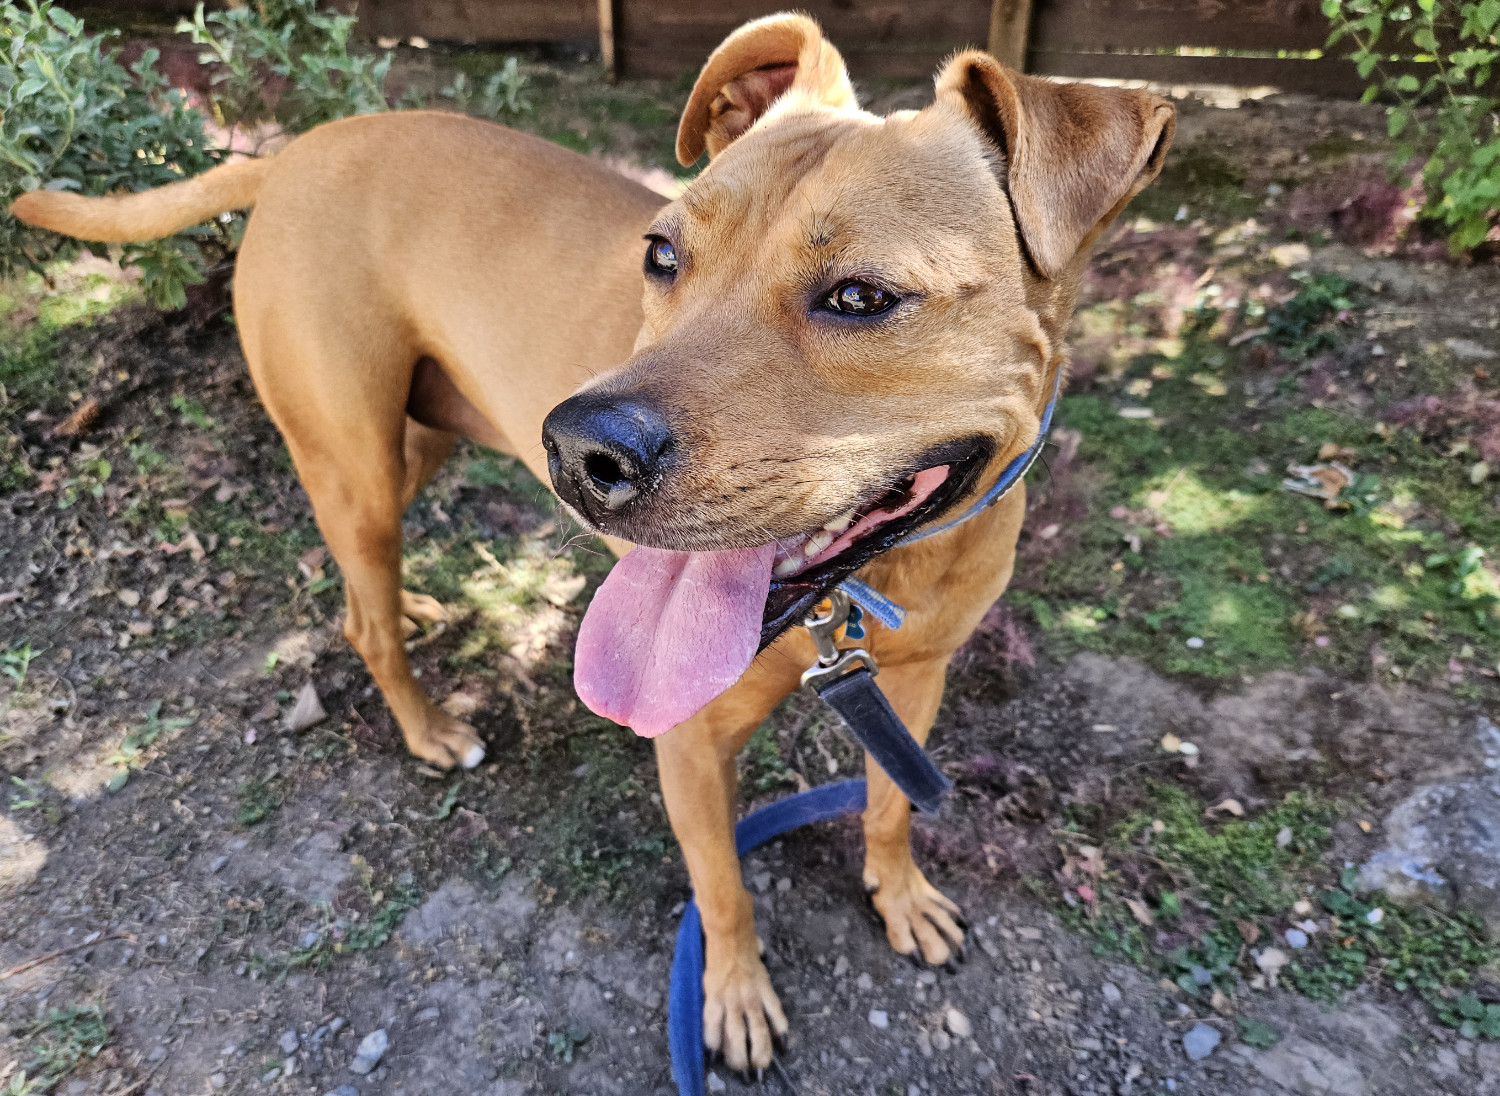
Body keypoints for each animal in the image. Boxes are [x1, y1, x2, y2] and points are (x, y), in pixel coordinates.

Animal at [11, 14, 1170, 1073]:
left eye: (861, 297)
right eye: (662, 254)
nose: (579, 450)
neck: (873, 582)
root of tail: (291, 150)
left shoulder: (917, 683)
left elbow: (889, 807)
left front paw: (901, 893)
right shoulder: (691, 747)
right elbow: (723, 885)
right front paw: (732, 999)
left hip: (419, 439)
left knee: (358, 590)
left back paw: (409, 606)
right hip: (355, 456)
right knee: (367, 606)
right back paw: (430, 725)